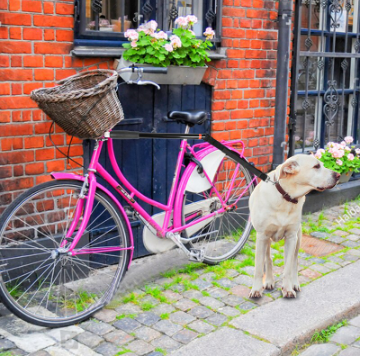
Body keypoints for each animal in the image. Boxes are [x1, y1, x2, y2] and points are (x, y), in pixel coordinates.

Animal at [248, 155, 342, 298]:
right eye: (316, 166)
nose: (338, 175)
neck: (286, 197)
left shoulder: (291, 237)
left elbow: (288, 267)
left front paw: (287, 288)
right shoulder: (262, 236)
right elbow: (259, 267)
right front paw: (256, 289)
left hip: (298, 238)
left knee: (294, 262)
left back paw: (295, 283)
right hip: (266, 240)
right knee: (268, 258)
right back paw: (269, 281)